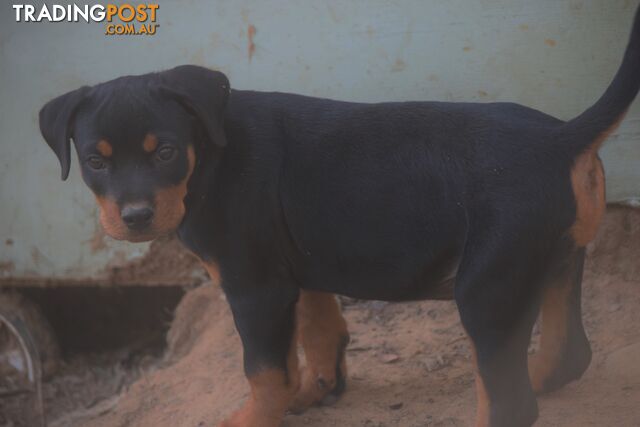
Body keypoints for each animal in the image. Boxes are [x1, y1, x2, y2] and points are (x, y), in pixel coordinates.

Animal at [38, 7, 640, 427]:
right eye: (95, 161)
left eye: (164, 151)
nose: (135, 217)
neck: (209, 154)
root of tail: (562, 139)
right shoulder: (297, 269)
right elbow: (318, 331)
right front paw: (316, 390)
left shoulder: (254, 286)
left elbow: (264, 369)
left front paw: (254, 416)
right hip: (554, 261)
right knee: (564, 355)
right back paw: (528, 376)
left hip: (489, 284)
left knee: (512, 401)